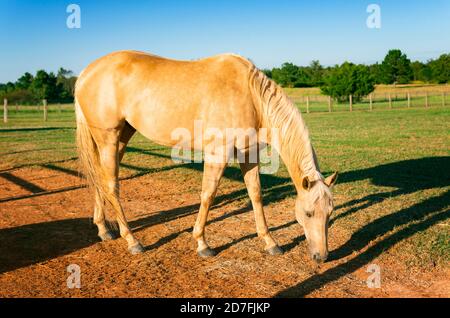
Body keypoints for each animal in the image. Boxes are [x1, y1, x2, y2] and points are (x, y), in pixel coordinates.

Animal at [75, 51, 338, 262]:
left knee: (99, 178)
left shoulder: (248, 154)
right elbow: (208, 195)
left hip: (121, 136)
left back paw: (104, 230)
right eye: (308, 213)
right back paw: (132, 240)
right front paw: (202, 244)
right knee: (111, 185)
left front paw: (270, 242)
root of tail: (85, 74)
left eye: (330, 213)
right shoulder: (218, 153)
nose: (322, 256)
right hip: (108, 138)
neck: (250, 95)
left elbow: (256, 195)